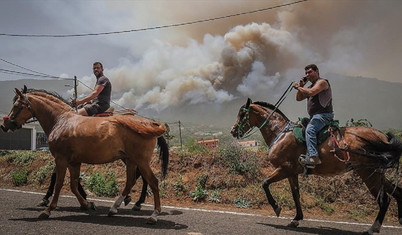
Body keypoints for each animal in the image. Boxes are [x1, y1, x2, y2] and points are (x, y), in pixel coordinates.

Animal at [1, 86, 168, 224]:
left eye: (17, 105)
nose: (4, 125)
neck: (61, 120)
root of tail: (149, 123)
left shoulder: (61, 159)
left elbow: (58, 183)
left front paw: (48, 209)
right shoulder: (73, 162)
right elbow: (73, 185)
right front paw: (87, 203)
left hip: (141, 160)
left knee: (152, 182)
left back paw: (153, 214)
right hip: (131, 160)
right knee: (131, 180)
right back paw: (116, 207)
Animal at [231, 98, 402, 234]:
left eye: (242, 114)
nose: (233, 131)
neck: (280, 133)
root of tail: (382, 137)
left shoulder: (284, 169)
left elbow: (265, 183)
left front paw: (276, 207)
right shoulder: (292, 173)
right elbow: (295, 194)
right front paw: (296, 218)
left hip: (368, 173)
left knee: (384, 199)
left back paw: (373, 228)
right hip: (376, 173)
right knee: (397, 192)